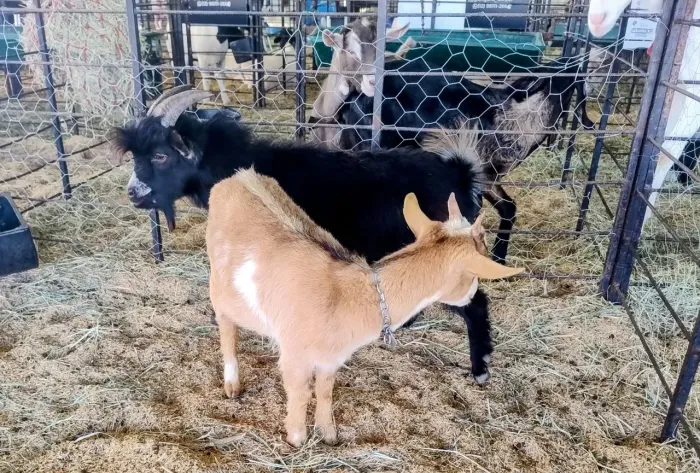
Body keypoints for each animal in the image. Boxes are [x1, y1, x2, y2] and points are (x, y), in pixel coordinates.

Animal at [207, 169, 524, 447]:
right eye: (475, 271)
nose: (470, 295)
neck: (350, 296)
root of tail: (237, 176)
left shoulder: (331, 358)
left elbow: (325, 391)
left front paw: (329, 436)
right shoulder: (295, 355)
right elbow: (299, 393)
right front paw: (296, 439)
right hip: (218, 284)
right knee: (226, 326)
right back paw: (232, 384)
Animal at [313, 55, 595, 263]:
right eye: (554, 75)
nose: (574, 62)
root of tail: (351, 99)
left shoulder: (487, 177)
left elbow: (508, 207)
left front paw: (499, 258)